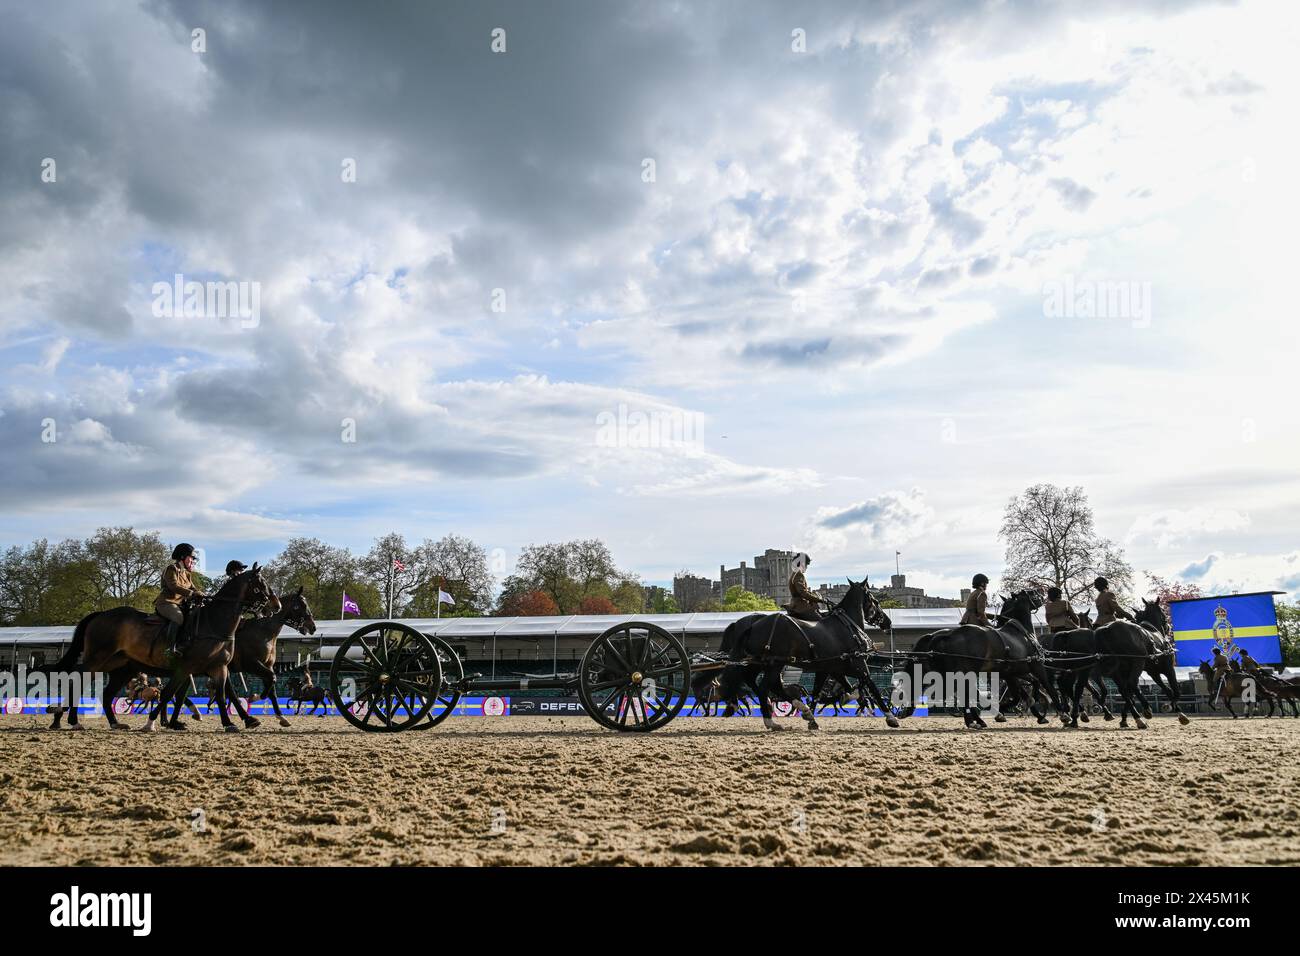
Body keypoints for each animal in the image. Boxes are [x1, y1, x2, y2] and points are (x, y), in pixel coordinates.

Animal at [46, 561, 269, 733]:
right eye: (260, 584)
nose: (270, 605)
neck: (213, 622)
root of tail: (100, 614)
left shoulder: (218, 667)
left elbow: (222, 695)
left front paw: (233, 722)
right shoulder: (185, 668)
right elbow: (171, 693)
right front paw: (151, 723)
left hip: (117, 667)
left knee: (104, 692)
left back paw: (113, 723)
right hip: (97, 659)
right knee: (76, 679)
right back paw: (67, 720)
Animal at [717, 574, 899, 733]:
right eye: (875, 600)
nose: (887, 622)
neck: (847, 626)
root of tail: (752, 625)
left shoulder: (830, 668)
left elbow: (823, 691)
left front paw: (813, 718)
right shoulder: (859, 666)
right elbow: (872, 688)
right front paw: (890, 717)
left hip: (760, 663)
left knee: (762, 683)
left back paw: (795, 710)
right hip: (774, 664)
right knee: (764, 687)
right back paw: (771, 720)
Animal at [899, 587, 1071, 728]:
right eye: (1031, 593)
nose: (1043, 595)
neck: (1022, 634)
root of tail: (946, 634)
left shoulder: (1013, 673)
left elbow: (1023, 691)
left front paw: (1027, 709)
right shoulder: (1036, 667)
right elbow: (1047, 687)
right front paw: (1063, 714)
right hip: (964, 673)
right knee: (964, 694)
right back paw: (974, 720)